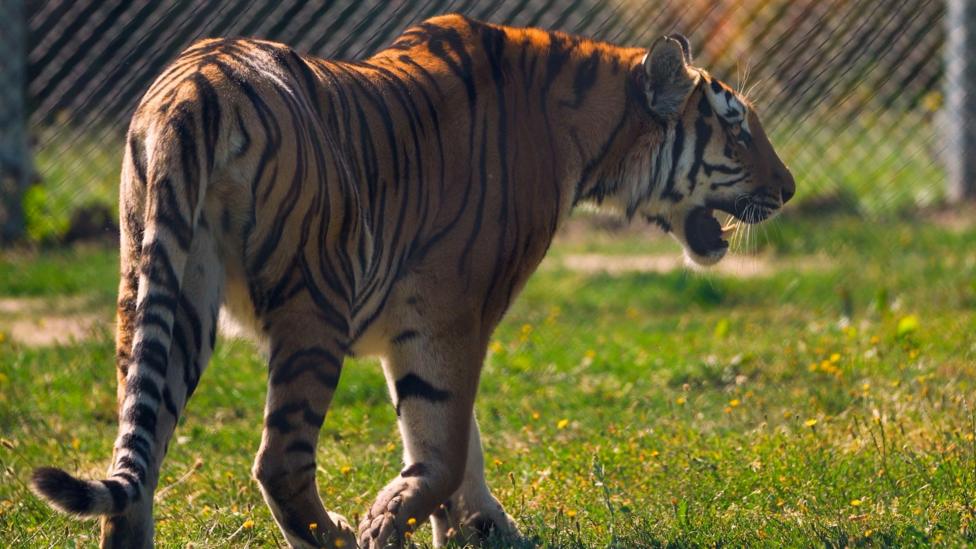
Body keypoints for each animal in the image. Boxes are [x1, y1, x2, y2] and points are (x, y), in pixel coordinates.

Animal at [30, 13, 794, 549]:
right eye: (738, 129)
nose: (787, 189)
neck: (589, 132)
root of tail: (193, 87)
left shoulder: (427, 326)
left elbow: (453, 435)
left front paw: (478, 527)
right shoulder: (450, 311)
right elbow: (447, 439)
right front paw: (392, 523)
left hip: (166, 291)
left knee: (140, 453)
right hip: (315, 304)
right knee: (279, 459)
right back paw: (336, 535)